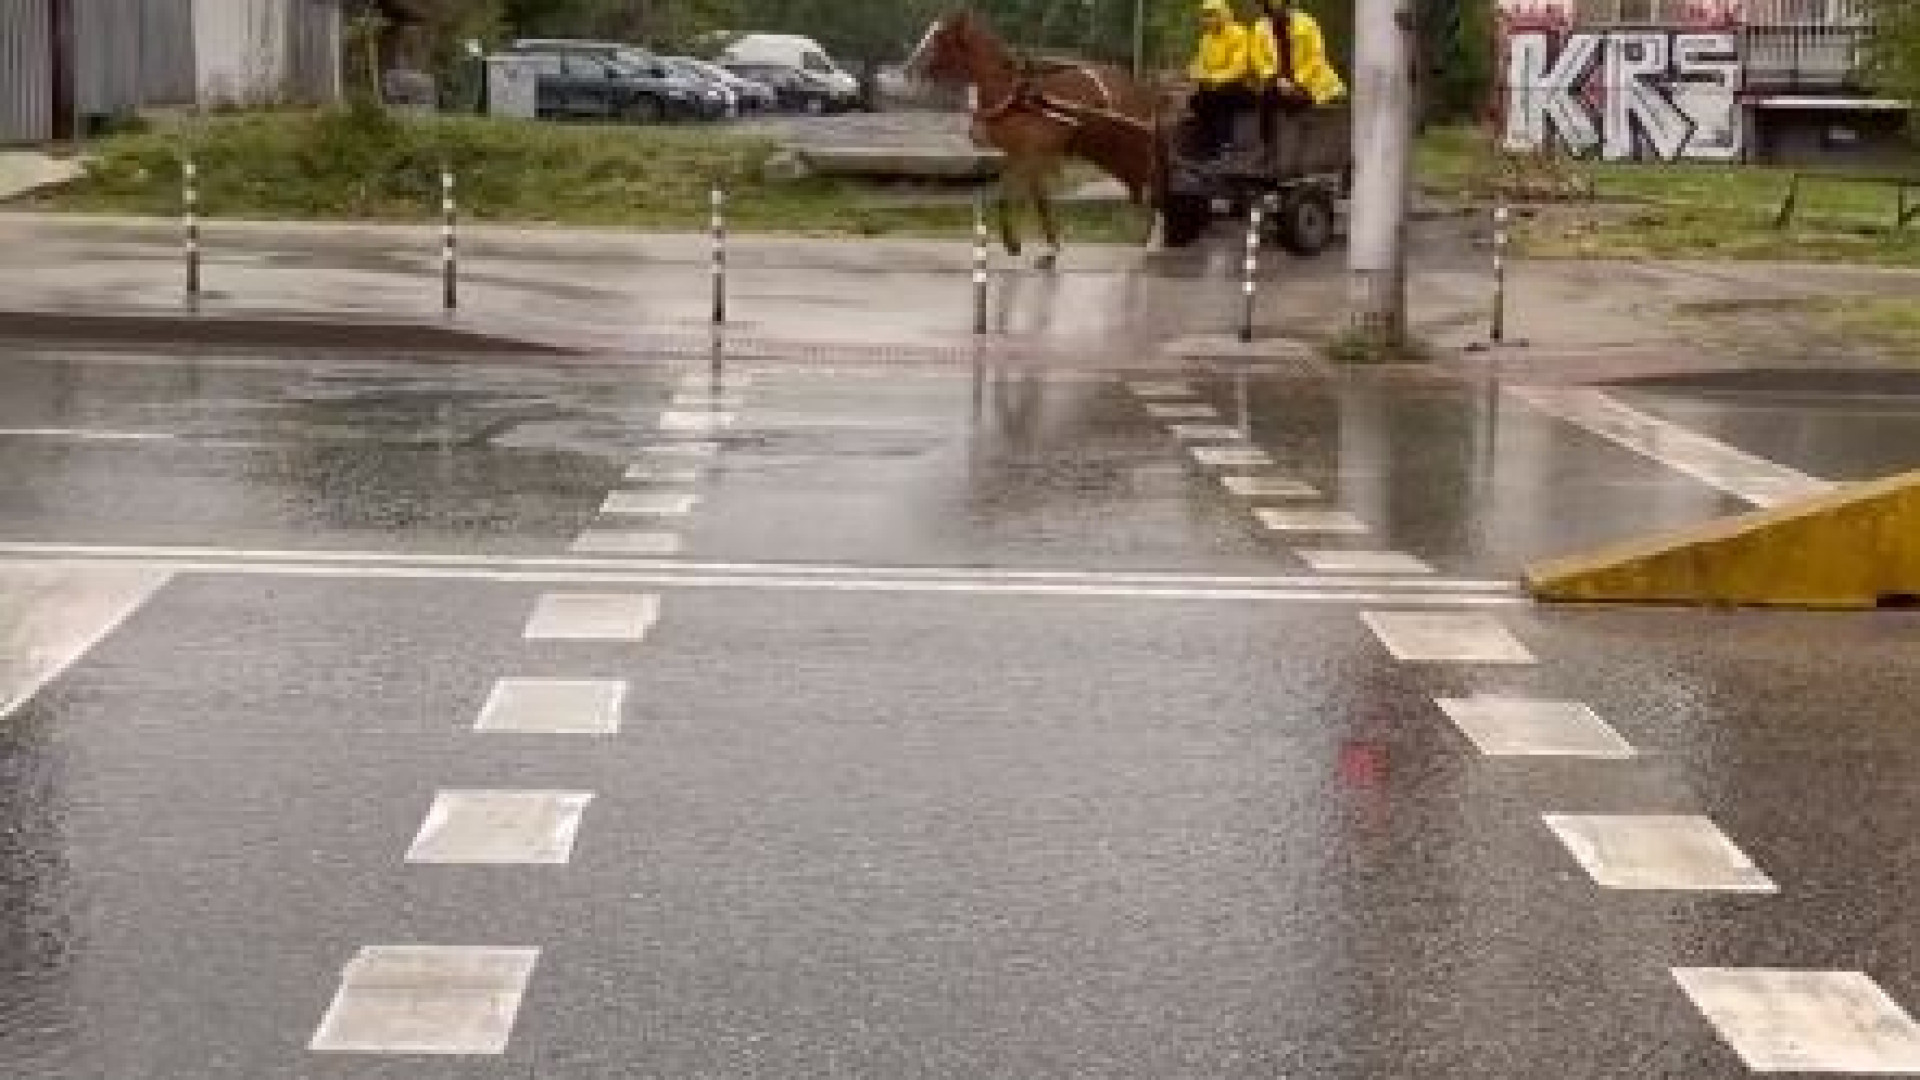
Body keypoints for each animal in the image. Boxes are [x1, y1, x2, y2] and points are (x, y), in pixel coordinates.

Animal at [910, 11, 1159, 267]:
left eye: (940, 37)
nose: (910, 68)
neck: (1016, 95)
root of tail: (1139, 88)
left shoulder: (1030, 156)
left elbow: (1017, 197)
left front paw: (1017, 243)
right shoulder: (1016, 156)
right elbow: (1036, 200)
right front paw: (1046, 249)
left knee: (1147, 183)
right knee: (1140, 187)